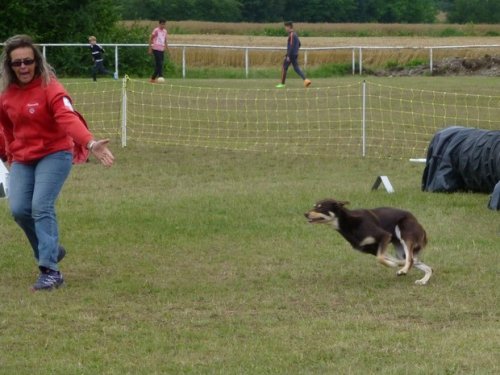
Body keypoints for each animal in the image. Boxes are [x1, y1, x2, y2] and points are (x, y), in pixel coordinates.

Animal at [302, 200, 432, 284]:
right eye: (314, 206)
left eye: (320, 207)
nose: (305, 213)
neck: (350, 222)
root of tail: (417, 221)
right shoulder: (372, 249)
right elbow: (384, 258)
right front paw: (397, 264)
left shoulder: (384, 236)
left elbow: (380, 259)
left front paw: (396, 266)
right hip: (400, 251)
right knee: (424, 265)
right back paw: (422, 280)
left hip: (405, 234)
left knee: (411, 259)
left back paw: (404, 270)